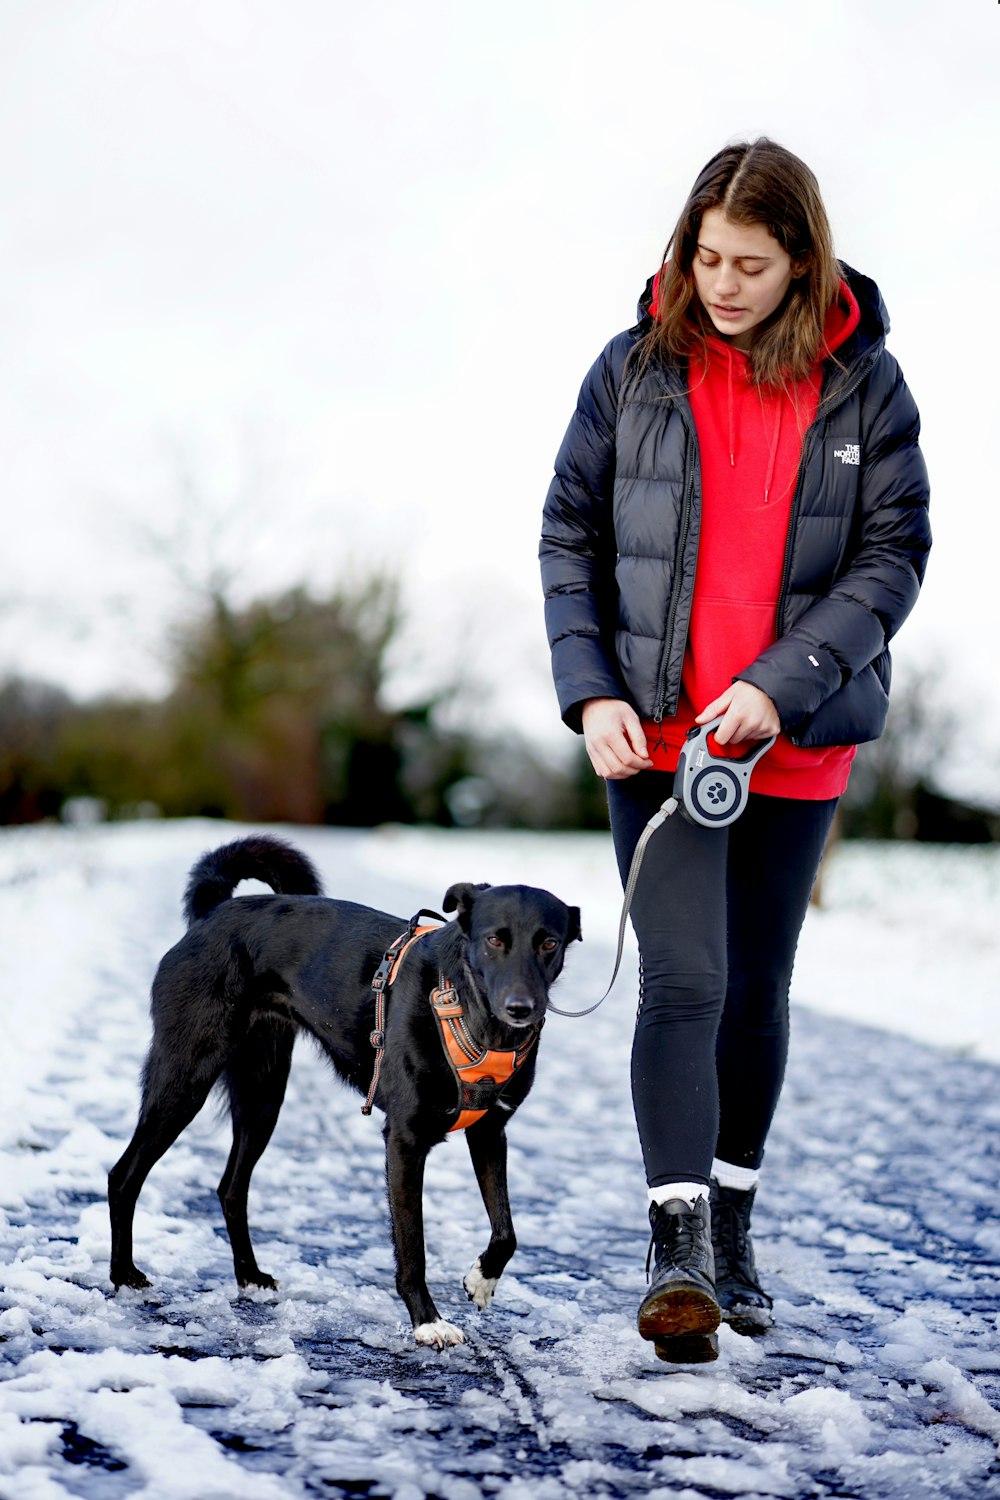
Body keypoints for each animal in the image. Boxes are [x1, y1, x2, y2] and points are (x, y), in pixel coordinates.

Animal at [107, 840, 578, 1344]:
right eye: (494, 939)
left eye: (549, 942)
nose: (521, 1008)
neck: (468, 1010)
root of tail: (214, 913)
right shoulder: (404, 1141)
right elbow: (412, 1246)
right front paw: (427, 1321)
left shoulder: (489, 1133)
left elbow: (506, 1231)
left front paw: (482, 1279)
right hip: (185, 1079)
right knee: (124, 1175)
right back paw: (125, 1277)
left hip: (263, 1095)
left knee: (231, 1187)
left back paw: (249, 1277)